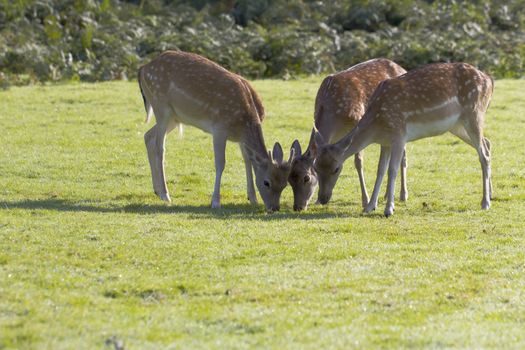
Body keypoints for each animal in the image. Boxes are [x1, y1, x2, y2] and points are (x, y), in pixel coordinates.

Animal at [138, 50, 294, 211]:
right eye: (266, 182)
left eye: (285, 183)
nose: (274, 208)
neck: (244, 122)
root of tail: (143, 69)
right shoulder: (220, 128)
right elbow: (220, 163)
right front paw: (215, 202)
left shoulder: (241, 139)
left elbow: (247, 161)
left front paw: (253, 198)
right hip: (161, 106)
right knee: (160, 147)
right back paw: (165, 194)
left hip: (175, 117)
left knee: (148, 136)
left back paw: (157, 190)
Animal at [288, 58, 408, 211]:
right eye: (289, 179)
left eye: (306, 178)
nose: (298, 206)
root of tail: (402, 68)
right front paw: (316, 201)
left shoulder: (358, 121)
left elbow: (358, 162)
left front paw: (365, 200)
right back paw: (387, 195)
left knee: (403, 154)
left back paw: (403, 195)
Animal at [314, 62, 494, 216]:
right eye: (315, 168)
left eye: (336, 168)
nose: (322, 198)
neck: (377, 125)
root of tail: (489, 81)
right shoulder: (385, 141)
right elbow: (380, 170)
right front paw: (370, 206)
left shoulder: (399, 134)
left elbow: (392, 170)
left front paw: (388, 209)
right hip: (457, 125)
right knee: (487, 143)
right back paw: (491, 194)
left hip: (474, 112)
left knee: (483, 154)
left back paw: (485, 203)